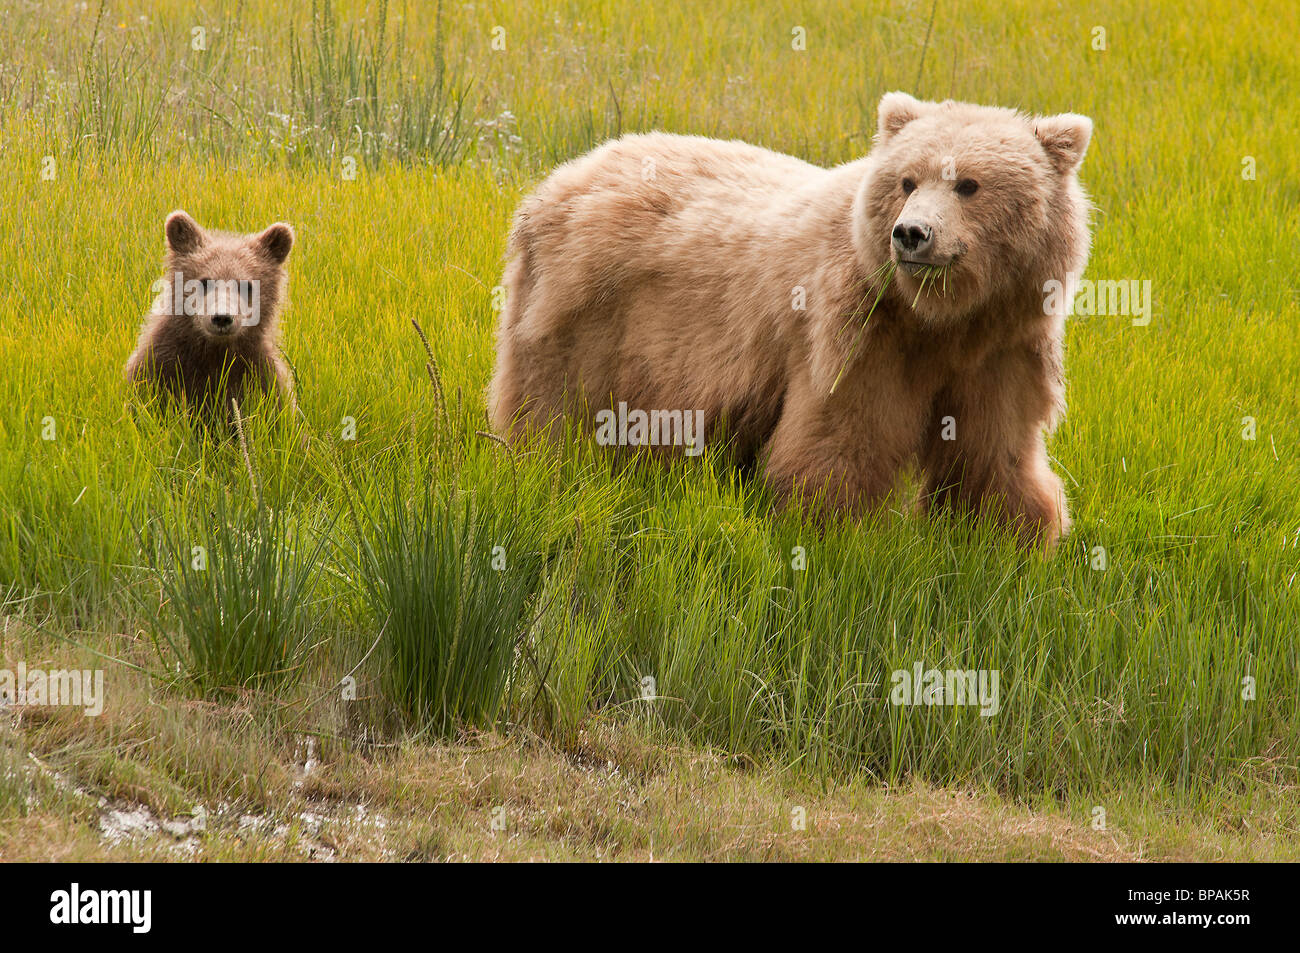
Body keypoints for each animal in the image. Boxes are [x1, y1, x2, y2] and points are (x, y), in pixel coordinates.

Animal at [125, 210, 297, 422]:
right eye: (204, 281)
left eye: (246, 285)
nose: (222, 317)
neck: (214, 351)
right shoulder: (160, 366)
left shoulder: (259, 375)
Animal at [488, 93, 1093, 547]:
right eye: (907, 181)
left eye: (968, 184)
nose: (911, 234)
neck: (939, 319)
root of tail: (559, 177)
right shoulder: (861, 334)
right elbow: (841, 441)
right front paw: (830, 532)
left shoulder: (1001, 347)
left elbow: (994, 450)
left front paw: (1012, 537)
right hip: (584, 316)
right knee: (552, 407)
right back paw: (540, 465)